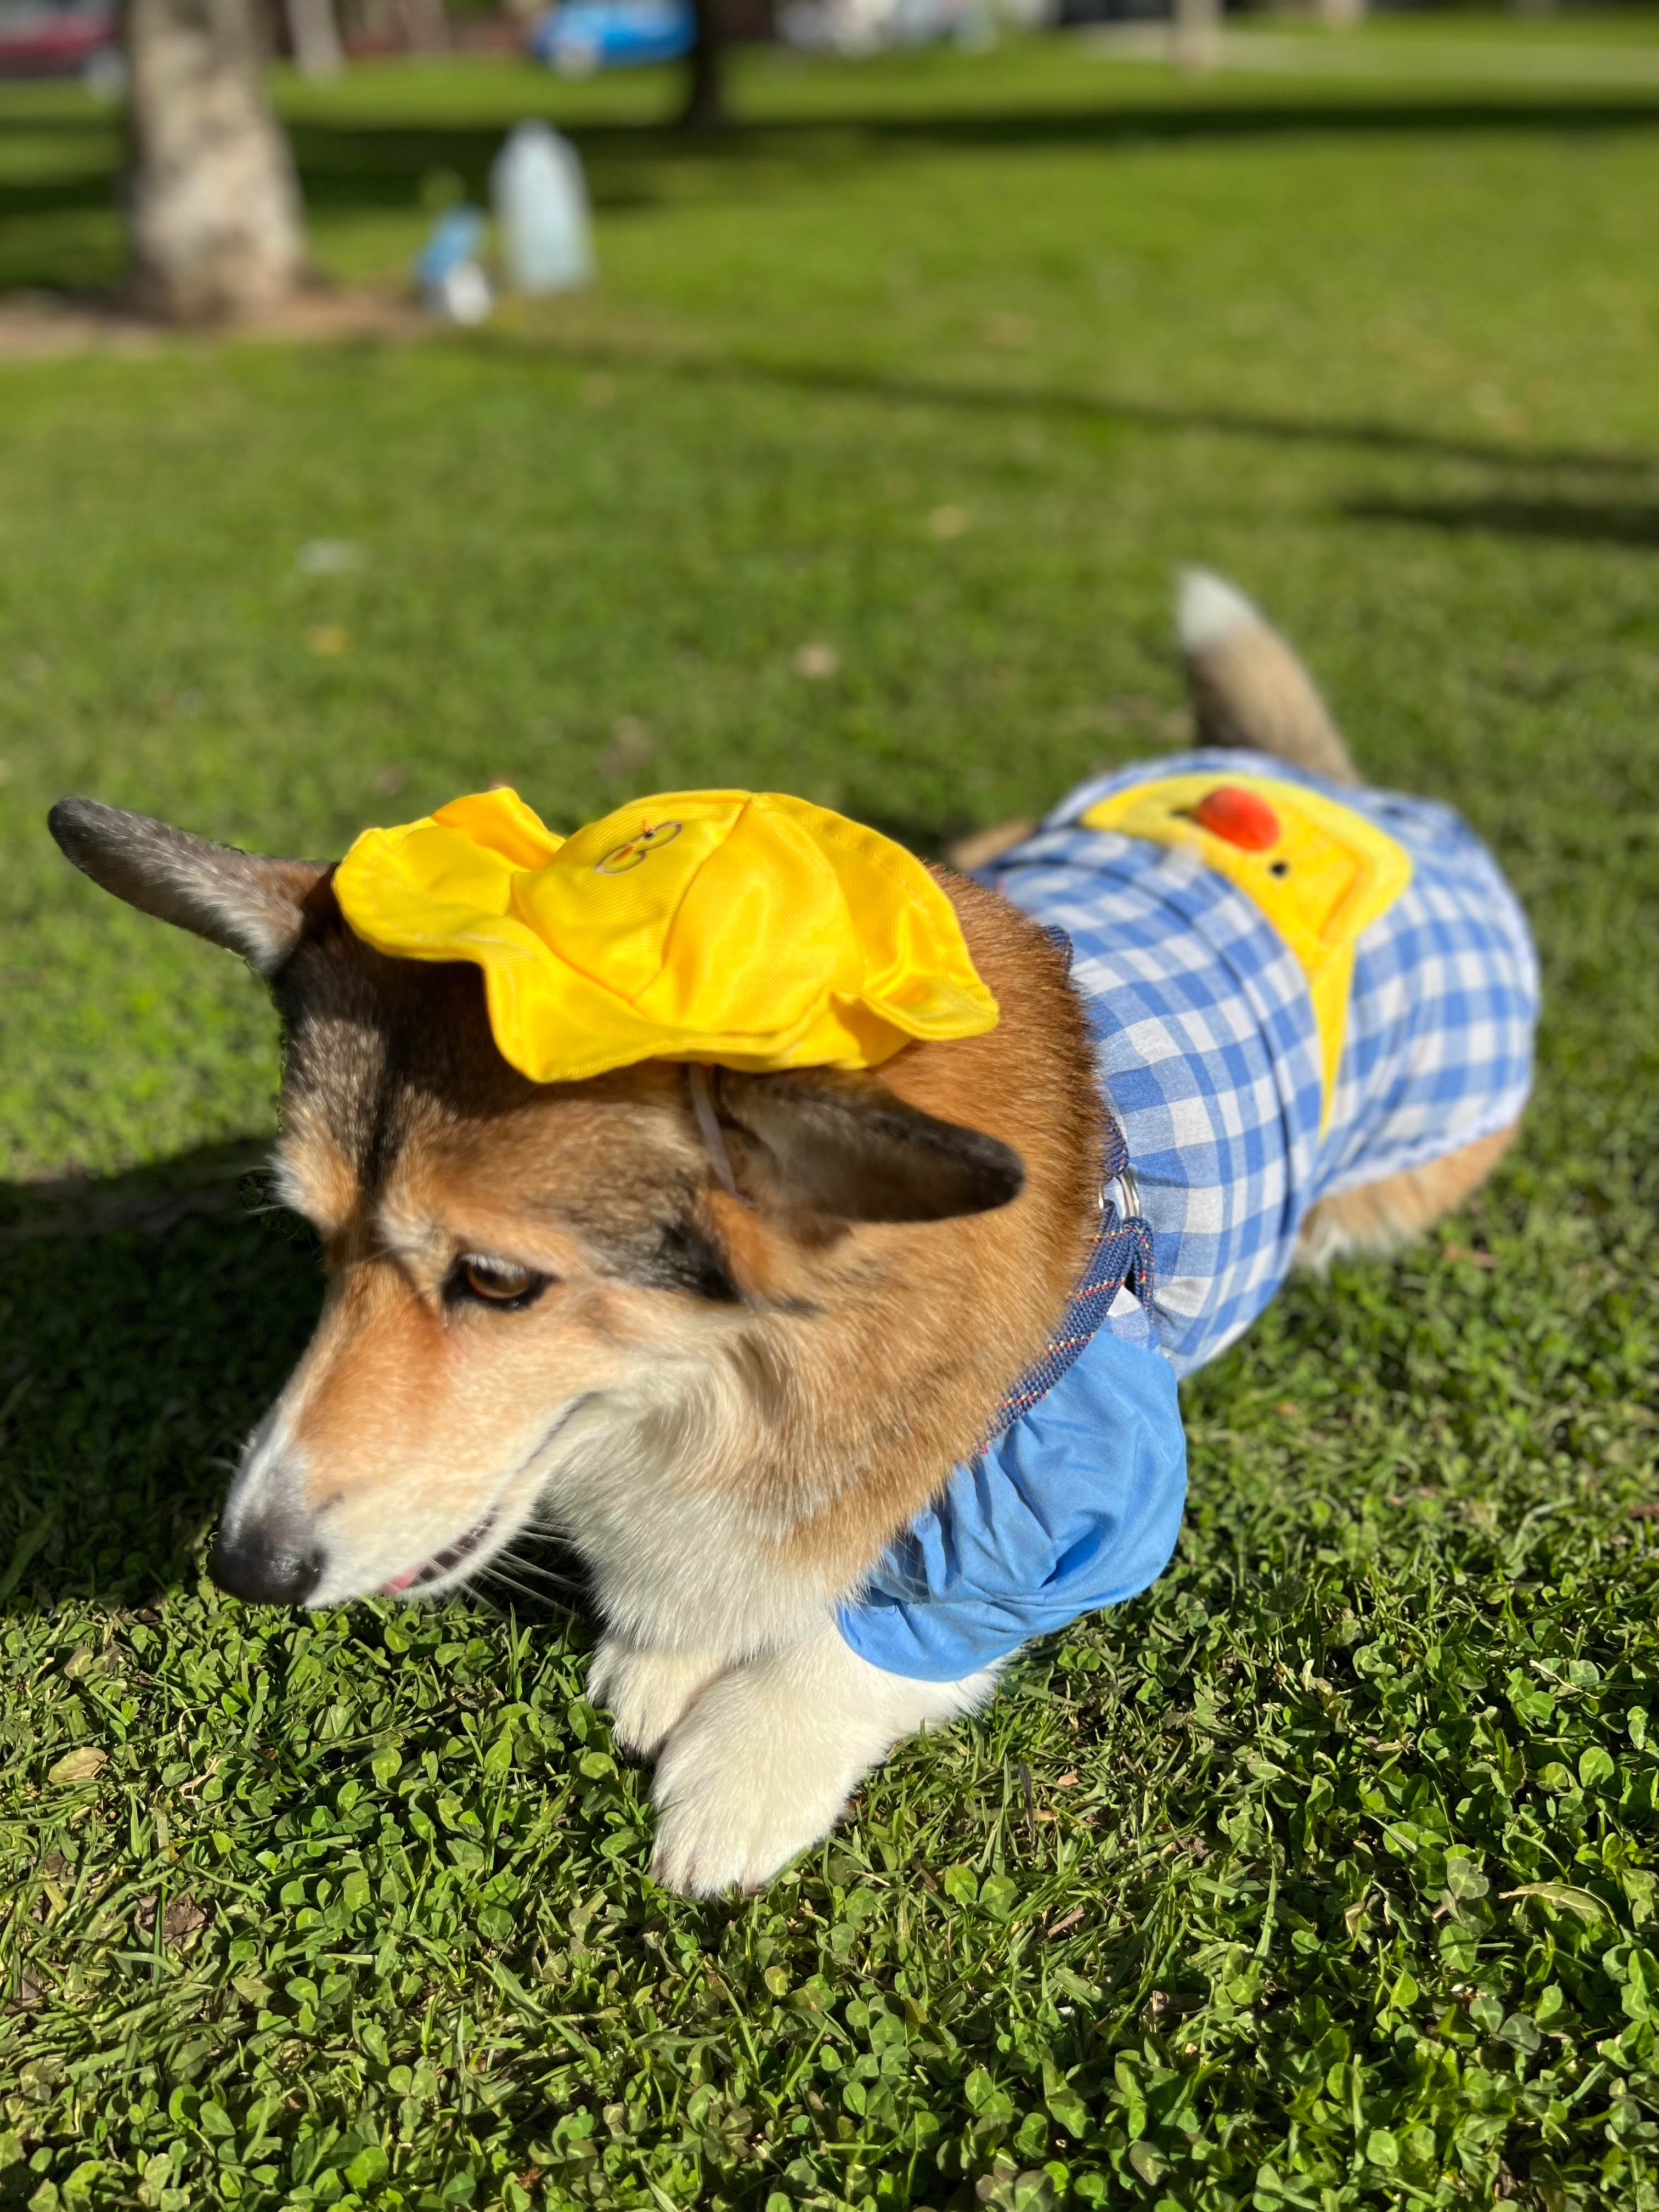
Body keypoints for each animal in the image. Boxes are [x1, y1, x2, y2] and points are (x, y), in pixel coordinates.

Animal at [45, 579, 1539, 1893]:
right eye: (312, 1239)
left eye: (497, 1281)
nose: (243, 1567)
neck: (733, 1385)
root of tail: (1315, 786)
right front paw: (664, 1648)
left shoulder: (1079, 1490)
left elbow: (867, 1641)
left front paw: (740, 1769)